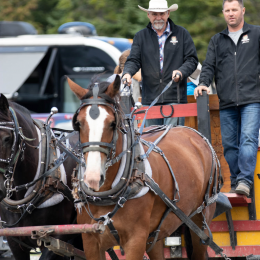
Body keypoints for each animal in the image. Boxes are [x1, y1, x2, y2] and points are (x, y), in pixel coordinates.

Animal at [68, 75, 218, 260]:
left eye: (112, 123)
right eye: (78, 123)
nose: (93, 178)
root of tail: (193, 132)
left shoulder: (136, 240)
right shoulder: (90, 241)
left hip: (201, 219)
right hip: (155, 236)